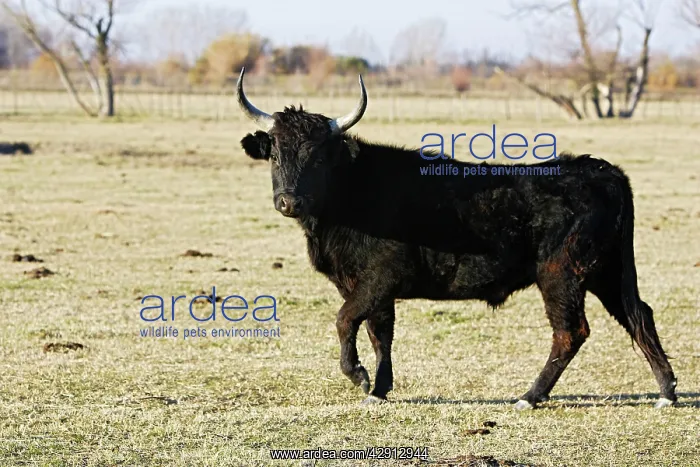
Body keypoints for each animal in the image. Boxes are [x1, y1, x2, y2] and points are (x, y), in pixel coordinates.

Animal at [235, 68, 677, 409]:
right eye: (276, 154)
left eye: (319, 157)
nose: (288, 201)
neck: (352, 191)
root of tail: (600, 169)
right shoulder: (369, 287)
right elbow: (380, 333)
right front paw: (379, 389)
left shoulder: (379, 278)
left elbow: (346, 320)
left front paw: (359, 376)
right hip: (607, 273)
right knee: (639, 316)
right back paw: (667, 390)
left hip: (562, 275)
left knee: (571, 332)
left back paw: (530, 396)